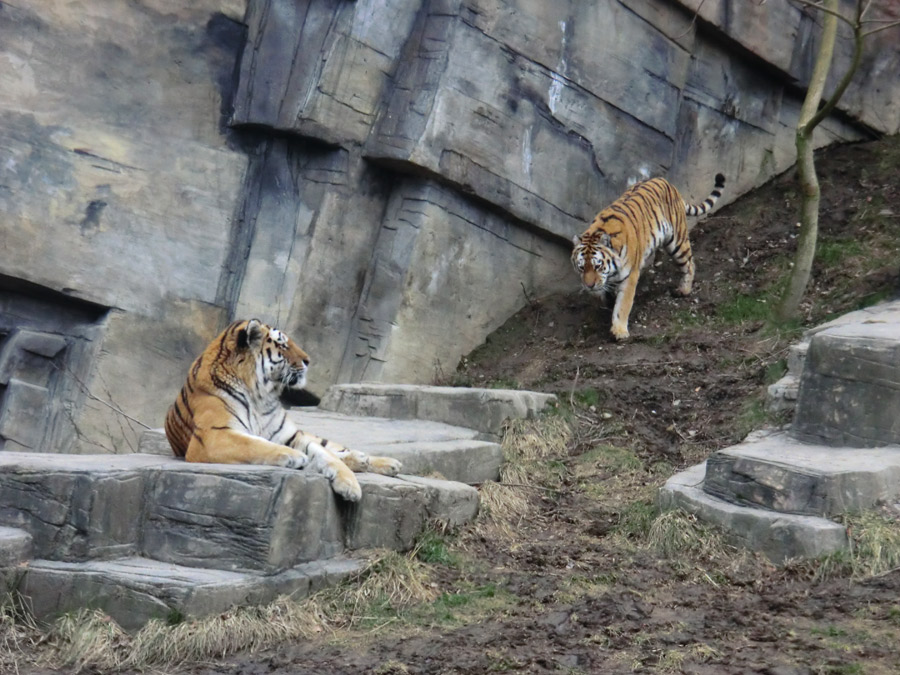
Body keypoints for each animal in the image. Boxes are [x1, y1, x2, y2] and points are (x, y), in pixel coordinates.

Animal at [165, 320, 398, 502]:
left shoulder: (292, 435)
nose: (308, 360)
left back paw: (385, 462)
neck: (260, 396)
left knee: (336, 448)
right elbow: (255, 444)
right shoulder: (212, 436)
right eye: (283, 345)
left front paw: (350, 484)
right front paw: (295, 457)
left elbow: (325, 454)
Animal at [572, 172, 728, 340]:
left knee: (689, 264)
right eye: (581, 267)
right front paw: (607, 303)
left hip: (677, 242)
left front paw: (619, 330)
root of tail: (667, 182)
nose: (589, 286)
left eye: (597, 266)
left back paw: (683, 290)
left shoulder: (630, 276)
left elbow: (623, 305)